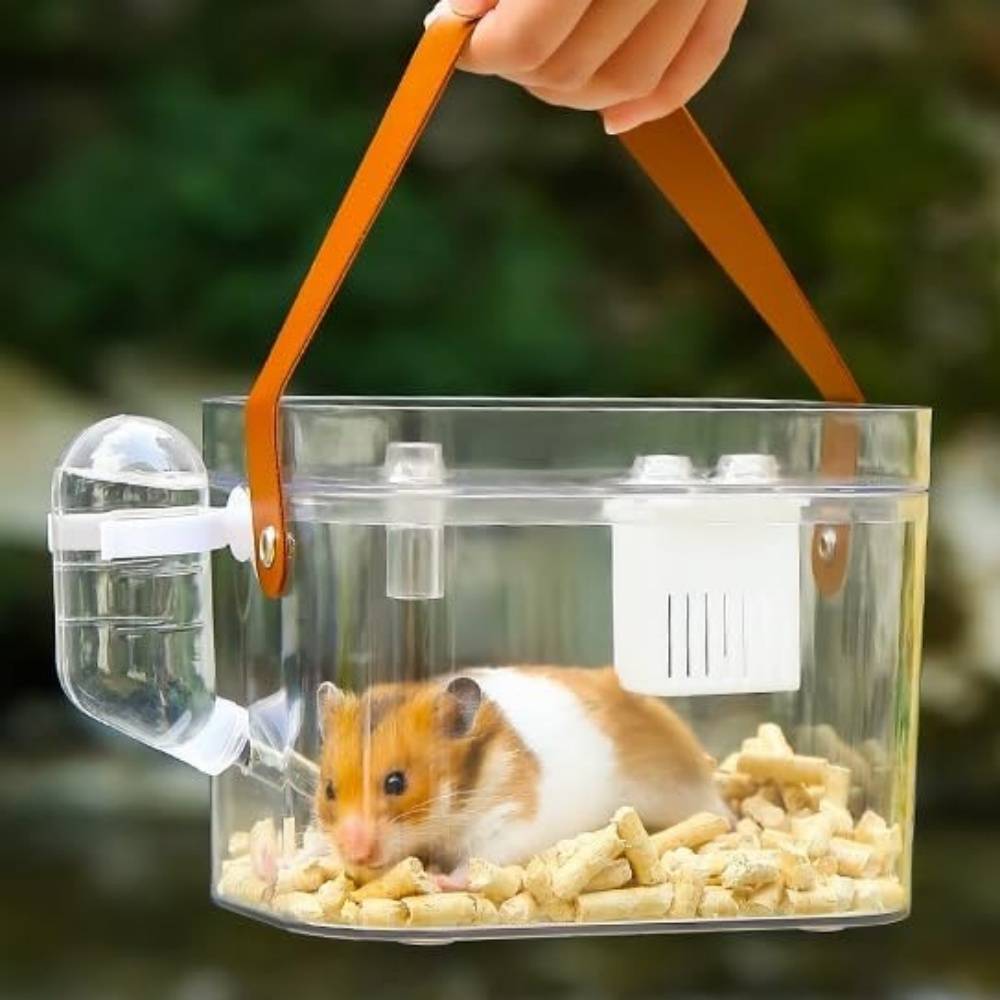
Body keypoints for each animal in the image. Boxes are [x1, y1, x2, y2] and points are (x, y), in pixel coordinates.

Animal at [315, 666, 726, 879]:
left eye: (396, 783)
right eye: (329, 790)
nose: (355, 854)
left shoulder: (508, 823)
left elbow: (477, 864)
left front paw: (437, 880)